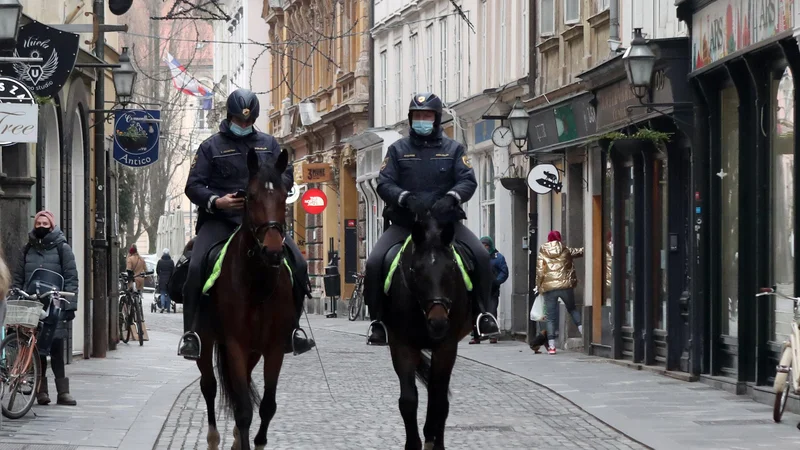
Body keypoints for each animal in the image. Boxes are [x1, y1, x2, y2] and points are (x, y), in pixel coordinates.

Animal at [195, 149, 296, 450]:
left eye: (285, 195)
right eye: (250, 196)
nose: (273, 251)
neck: (258, 284)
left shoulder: (274, 347)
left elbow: (267, 406)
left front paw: (255, 441)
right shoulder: (235, 345)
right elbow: (243, 410)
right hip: (206, 341)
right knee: (209, 386)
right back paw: (213, 439)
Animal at [382, 209, 476, 448]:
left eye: (452, 268)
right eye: (416, 270)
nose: (438, 322)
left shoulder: (446, 347)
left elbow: (440, 402)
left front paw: (435, 441)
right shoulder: (402, 345)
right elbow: (408, 400)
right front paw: (413, 443)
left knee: (437, 395)